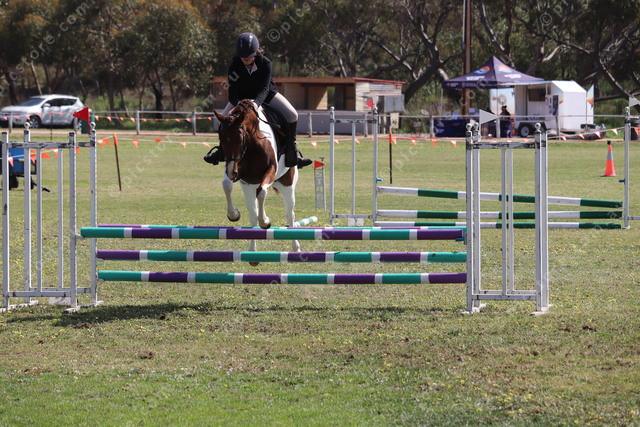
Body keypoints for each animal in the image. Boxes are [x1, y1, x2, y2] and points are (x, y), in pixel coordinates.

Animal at [213, 99, 300, 255]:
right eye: (221, 138)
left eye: (240, 137)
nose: (232, 172)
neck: (251, 145)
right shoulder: (239, 174)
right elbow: (226, 185)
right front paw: (233, 214)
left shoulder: (271, 170)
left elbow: (262, 192)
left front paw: (265, 221)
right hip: (249, 187)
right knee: (253, 216)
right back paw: (252, 250)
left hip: (287, 184)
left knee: (290, 214)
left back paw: (295, 247)